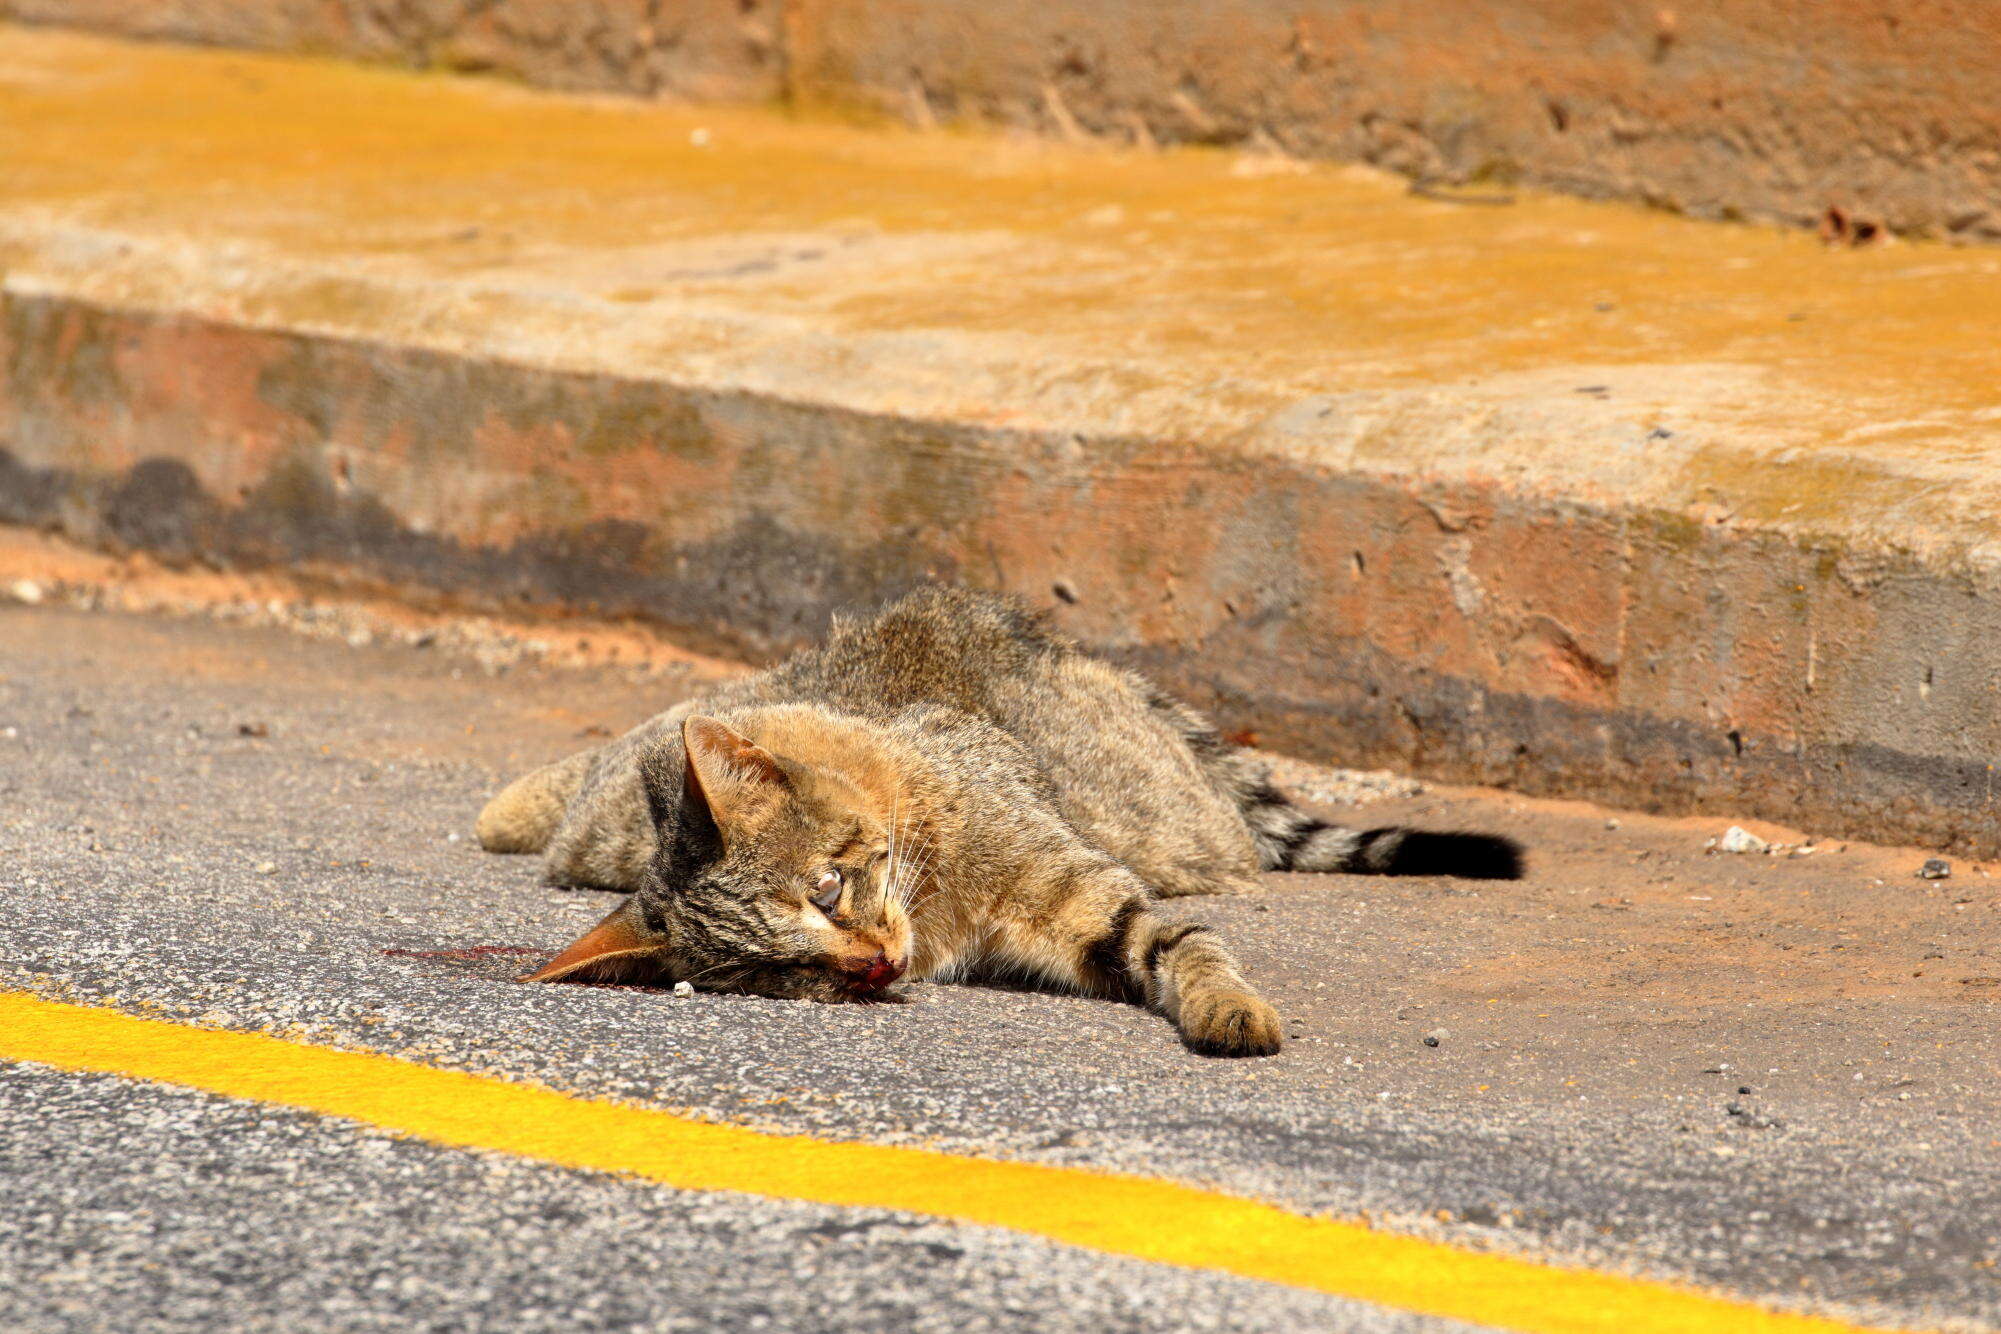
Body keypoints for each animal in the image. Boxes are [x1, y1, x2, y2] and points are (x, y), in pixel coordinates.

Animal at [480, 588, 1512, 1056]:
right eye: (780, 978)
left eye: (827, 888)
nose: (875, 968)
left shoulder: (1086, 889)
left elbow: (1183, 945)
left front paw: (1228, 1005)